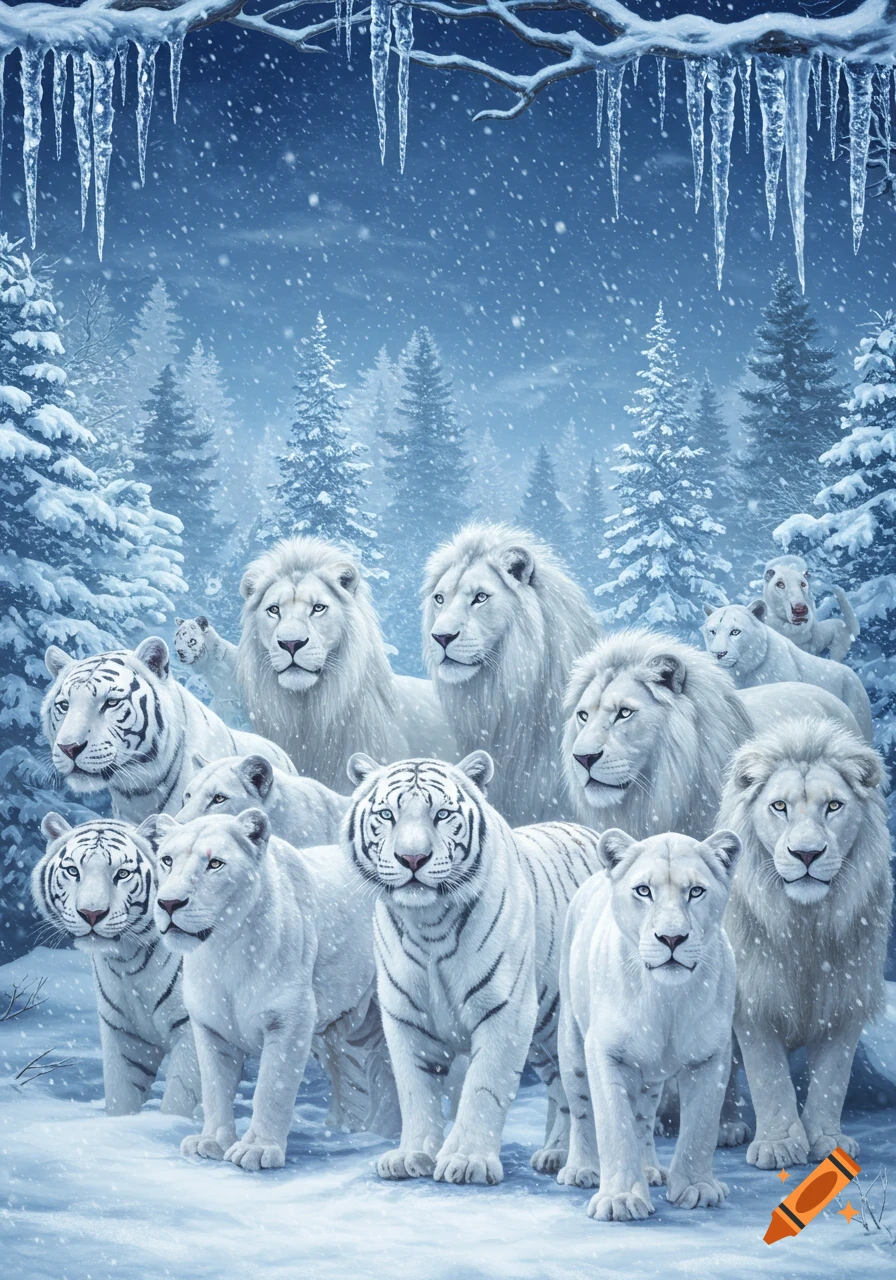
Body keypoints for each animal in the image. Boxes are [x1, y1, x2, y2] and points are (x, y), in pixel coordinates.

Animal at [31, 813, 200, 1117]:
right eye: (72, 871)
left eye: (122, 874)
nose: (91, 913)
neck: (127, 960)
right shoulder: (125, 1035)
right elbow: (121, 1098)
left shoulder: (192, 1027)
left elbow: (179, 1098)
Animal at [345, 751, 604, 1185]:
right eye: (386, 814)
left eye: (442, 814)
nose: (412, 858)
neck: (428, 924)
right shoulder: (405, 1018)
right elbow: (415, 1091)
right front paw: (411, 1155)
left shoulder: (506, 1012)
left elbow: (483, 1087)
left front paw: (467, 1160)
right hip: (545, 1033)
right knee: (560, 1089)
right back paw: (554, 1153)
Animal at [557, 827, 741, 1221]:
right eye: (644, 891)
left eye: (696, 891)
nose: (672, 938)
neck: (665, 1001)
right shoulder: (604, 1052)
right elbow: (613, 1125)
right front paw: (620, 1199)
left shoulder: (712, 1055)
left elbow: (701, 1126)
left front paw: (697, 1189)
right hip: (571, 1041)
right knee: (581, 1109)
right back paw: (581, 1169)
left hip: (651, 1077)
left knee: (643, 1117)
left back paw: (651, 1169)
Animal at [718, 718, 892, 1169]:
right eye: (779, 806)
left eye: (833, 806)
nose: (807, 854)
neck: (806, 926)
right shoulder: (754, 999)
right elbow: (769, 1077)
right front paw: (778, 1146)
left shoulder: (845, 997)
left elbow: (833, 1077)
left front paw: (828, 1142)